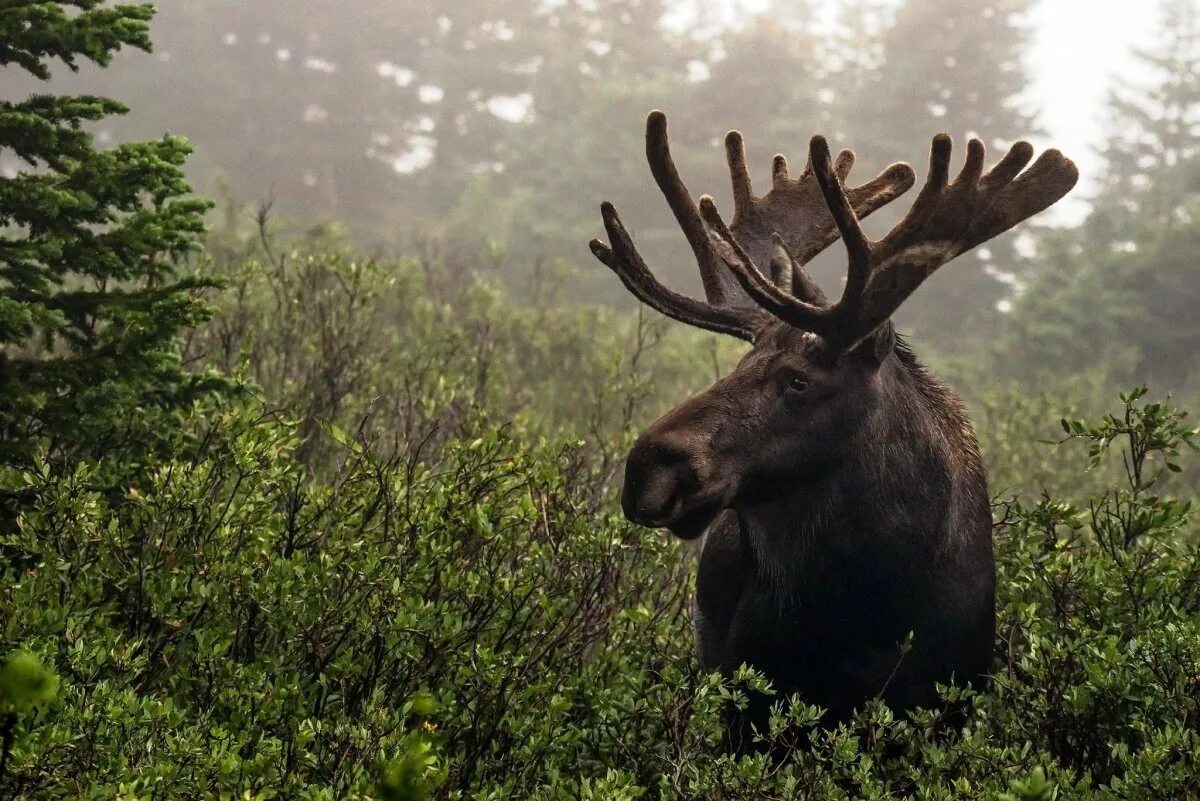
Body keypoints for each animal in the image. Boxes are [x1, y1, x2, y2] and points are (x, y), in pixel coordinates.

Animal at [590, 112, 1080, 753]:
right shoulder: (750, 697)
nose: (648, 469)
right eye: (739, 365)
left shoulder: (944, 702)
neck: (867, 605)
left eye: (799, 380)